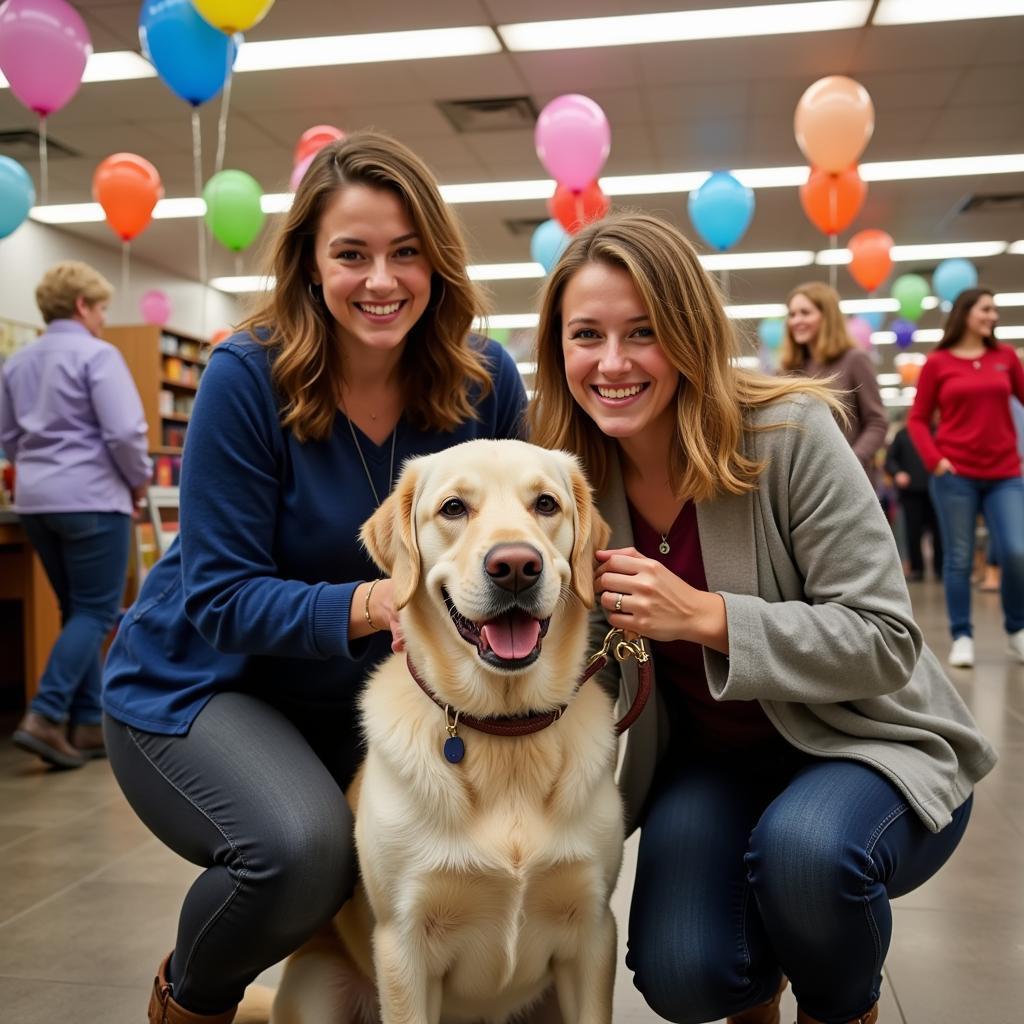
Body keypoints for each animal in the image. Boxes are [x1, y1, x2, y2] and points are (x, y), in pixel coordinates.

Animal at [272, 440, 618, 1024]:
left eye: (546, 504)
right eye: (454, 508)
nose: (516, 567)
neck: (506, 732)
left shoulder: (593, 933)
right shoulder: (403, 945)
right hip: (317, 984)